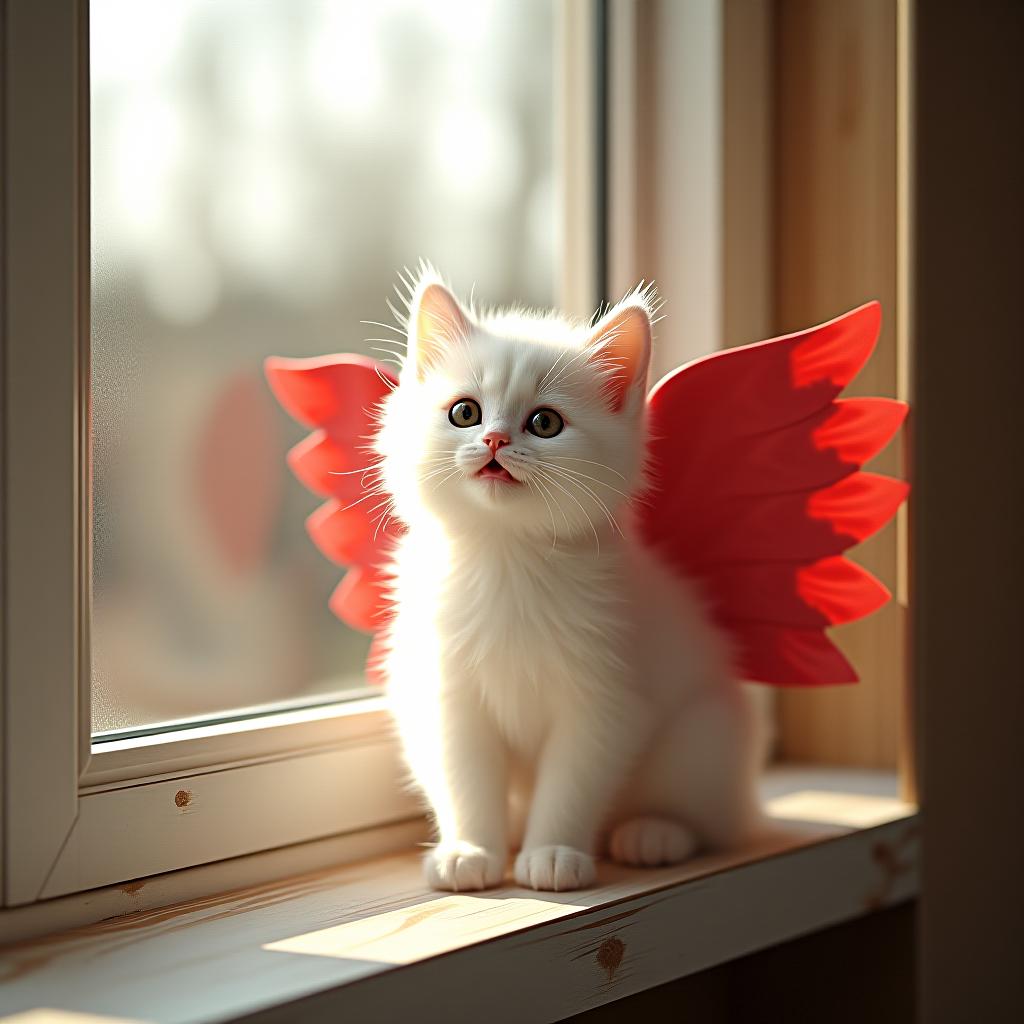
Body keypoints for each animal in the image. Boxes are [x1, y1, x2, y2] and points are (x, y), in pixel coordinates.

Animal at [374, 270, 761, 888]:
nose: (495, 441)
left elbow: (572, 784)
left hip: (705, 733)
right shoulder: (447, 694)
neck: (508, 559)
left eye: (545, 422)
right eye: (464, 413)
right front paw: (470, 850)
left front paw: (553, 854)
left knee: (711, 819)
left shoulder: (607, 700)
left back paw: (654, 833)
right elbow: (465, 777)